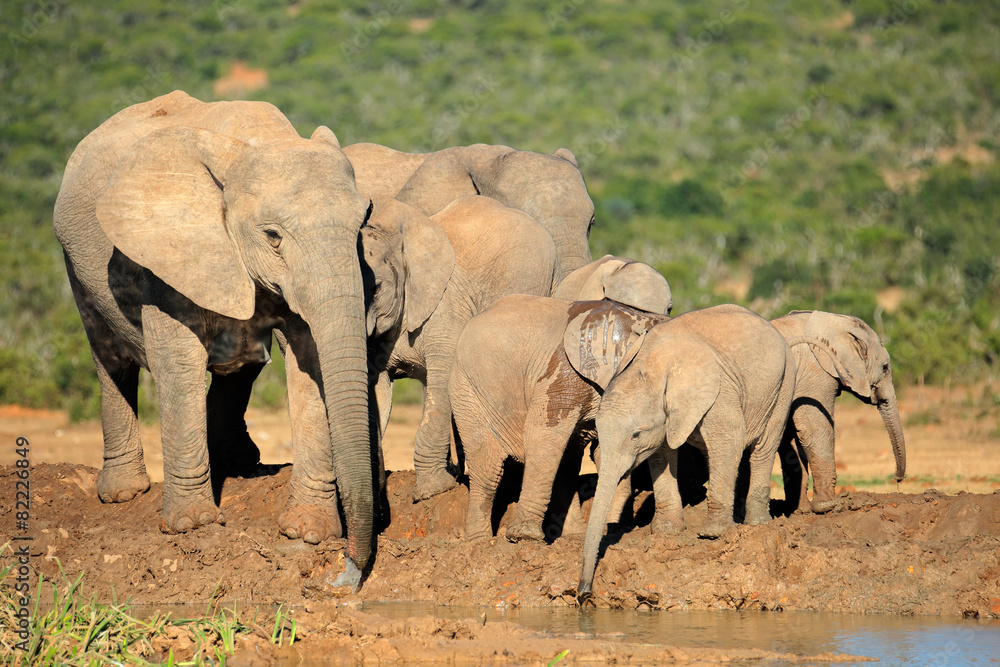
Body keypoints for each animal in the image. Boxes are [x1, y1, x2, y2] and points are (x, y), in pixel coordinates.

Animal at [53, 91, 374, 584]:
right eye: (273, 236)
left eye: (362, 227)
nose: (347, 571)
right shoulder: (170, 249)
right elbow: (178, 359)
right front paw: (194, 526)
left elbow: (310, 363)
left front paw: (307, 533)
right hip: (75, 262)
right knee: (110, 359)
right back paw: (124, 494)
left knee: (242, 363)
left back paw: (238, 464)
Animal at [451, 284, 672, 542]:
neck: (633, 318)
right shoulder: (563, 373)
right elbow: (542, 434)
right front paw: (524, 537)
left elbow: (605, 449)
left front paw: (613, 530)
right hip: (467, 390)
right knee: (487, 464)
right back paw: (480, 543)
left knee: (566, 461)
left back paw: (573, 536)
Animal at [578, 305, 795, 601]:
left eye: (635, 435)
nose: (583, 594)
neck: (652, 365)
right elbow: (661, 454)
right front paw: (666, 532)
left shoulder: (718, 389)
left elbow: (730, 436)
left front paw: (713, 534)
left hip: (783, 384)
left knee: (763, 446)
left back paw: (756, 524)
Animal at [771, 310, 906, 514]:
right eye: (885, 368)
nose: (897, 479)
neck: (836, 321)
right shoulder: (814, 372)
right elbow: (814, 428)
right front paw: (830, 507)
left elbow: (790, 435)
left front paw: (801, 512)